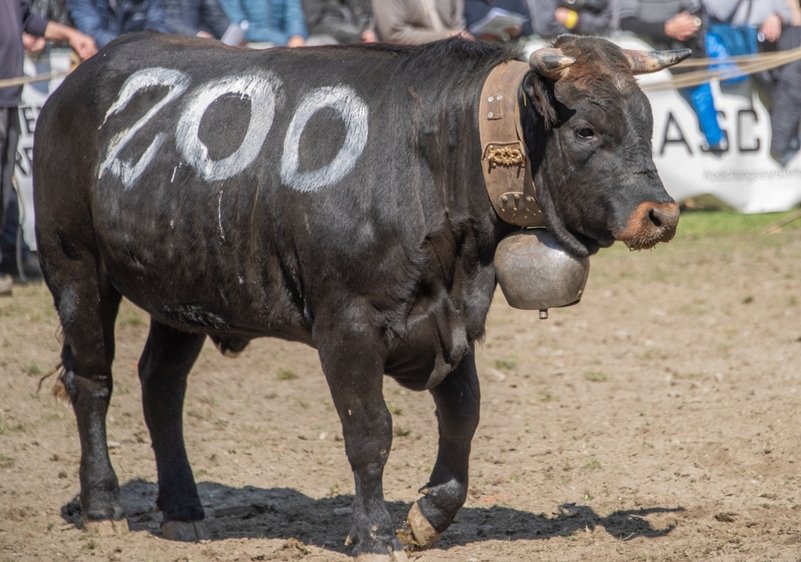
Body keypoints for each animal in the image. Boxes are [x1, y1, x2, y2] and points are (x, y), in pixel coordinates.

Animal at [32, 34, 688, 556]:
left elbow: (463, 416)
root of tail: (77, 81)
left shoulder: (451, 316)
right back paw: (103, 507)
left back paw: (184, 510)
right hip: (76, 269)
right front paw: (373, 534)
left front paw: (427, 516)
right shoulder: (346, 324)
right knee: (92, 382)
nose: (662, 215)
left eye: (649, 123)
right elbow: (369, 430)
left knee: (161, 386)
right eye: (585, 129)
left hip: (183, 289)